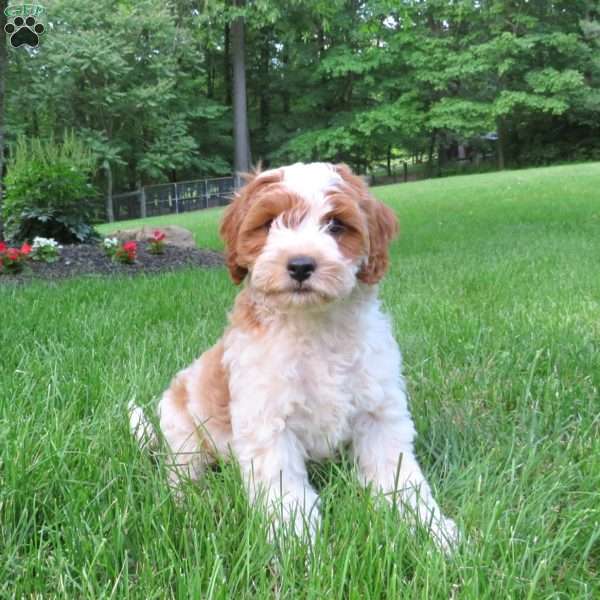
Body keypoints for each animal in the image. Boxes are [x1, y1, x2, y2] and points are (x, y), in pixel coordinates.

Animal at [131, 162, 460, 552]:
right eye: (270, 222)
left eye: (335, 225)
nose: (301, 265)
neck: (314, 326)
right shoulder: (268, 421)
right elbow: (285, 491)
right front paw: (297, 545)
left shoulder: (379, 412)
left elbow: (399, 476)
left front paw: (430, 530)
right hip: (181, 425)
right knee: (181, 469)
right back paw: (187, 498)